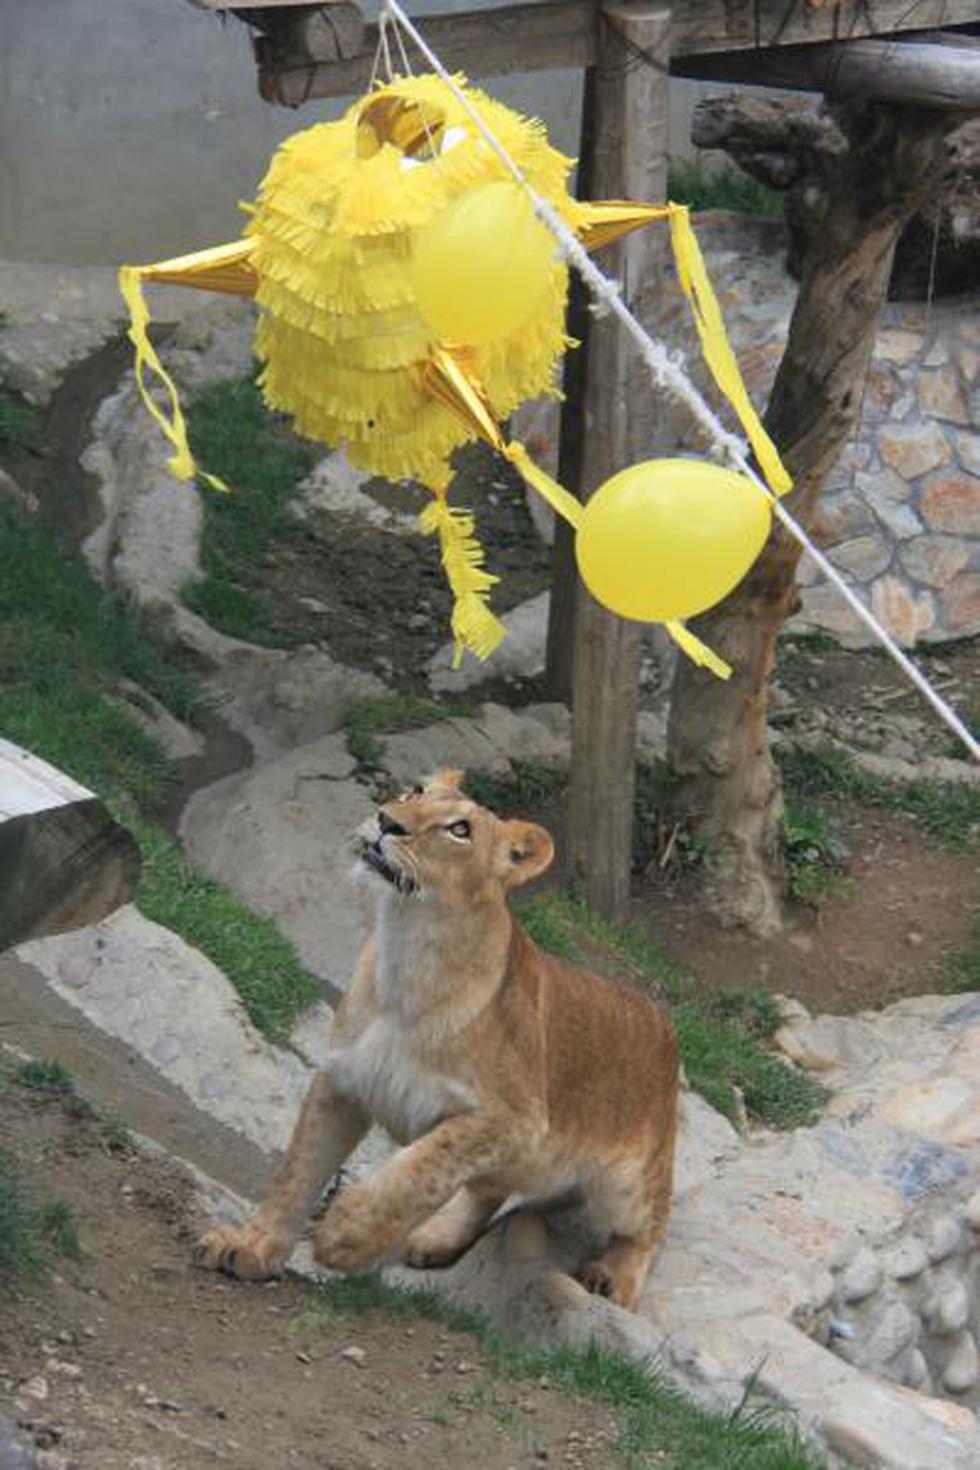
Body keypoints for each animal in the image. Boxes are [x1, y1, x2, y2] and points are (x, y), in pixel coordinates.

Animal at [196, 768, 678, 1309]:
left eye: (460, 830)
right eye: (414, 793)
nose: (386, 820)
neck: (408, 950)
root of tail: (661, 1018)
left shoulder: (515, 1120)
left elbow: (422, 1168)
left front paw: (346, 1236)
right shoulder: (343, 1080)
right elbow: (297, 1173)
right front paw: (251, 1247)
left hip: (627, 1183)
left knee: (651, 1226)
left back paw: (613, 1279)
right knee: (490, 1189)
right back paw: (436, 1238)